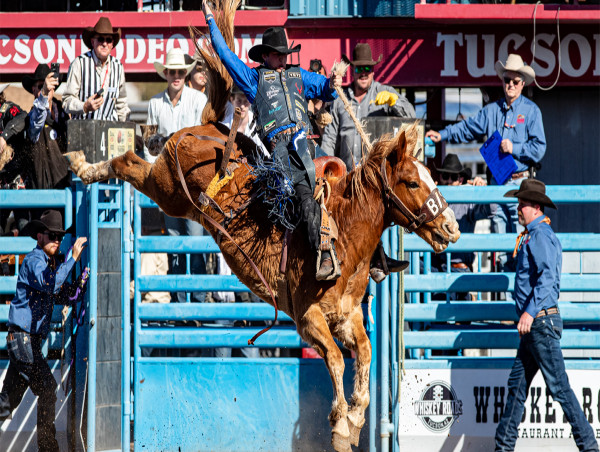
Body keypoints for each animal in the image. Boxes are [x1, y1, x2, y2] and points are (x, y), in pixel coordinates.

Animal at [63, 1, 460, 450]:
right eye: (411, 181)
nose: (450, 228)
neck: (343, 239)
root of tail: (205, 126)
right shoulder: (307, 317)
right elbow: (337, 359)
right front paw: (341, 425)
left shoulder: (348, 316)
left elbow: (364, 353)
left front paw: (357, 417)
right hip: (165, 189)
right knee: (127, 162)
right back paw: (82, 162)